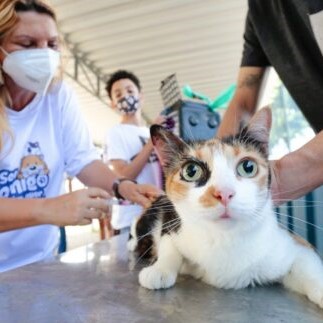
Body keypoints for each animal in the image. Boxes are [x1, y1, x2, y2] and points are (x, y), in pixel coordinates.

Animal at [128, 107, 323, 308]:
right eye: (191, 171)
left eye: (248, 167)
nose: (224, 193)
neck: (225, 238)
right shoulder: (172, 224)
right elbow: (169, 247)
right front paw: (159, 269)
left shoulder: (295, 246)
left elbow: (309, 268)